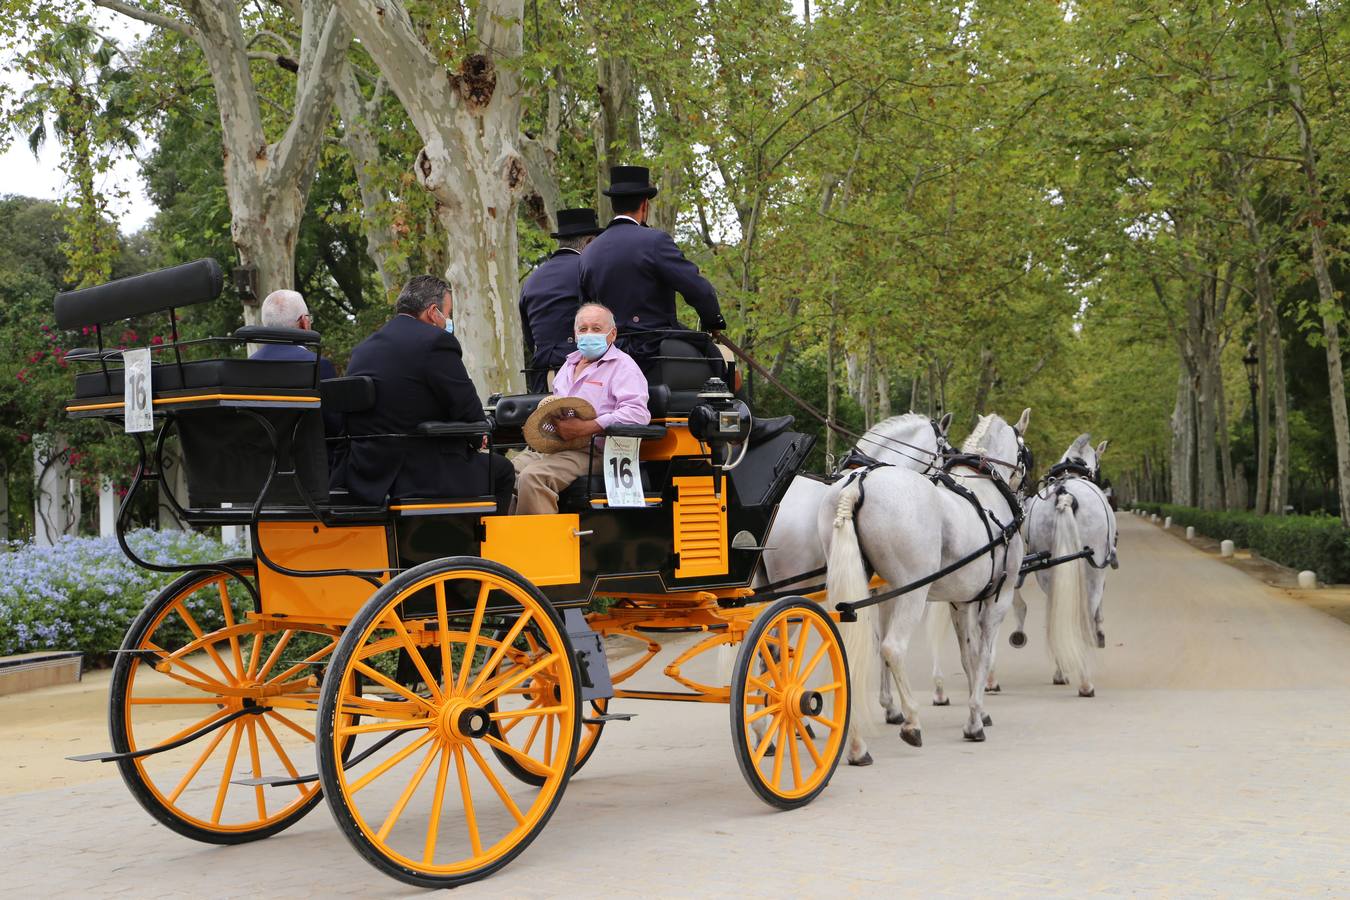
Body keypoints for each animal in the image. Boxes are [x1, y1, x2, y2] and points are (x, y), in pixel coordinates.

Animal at [815, 412, 1026, 766]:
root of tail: (858, 483)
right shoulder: (998, 598)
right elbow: (983, 655)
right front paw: (975, 718)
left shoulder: (960, 602)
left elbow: (968, 655)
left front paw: (978, 711)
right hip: (911, 593)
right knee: (892, 648)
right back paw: (911, 721)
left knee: (848, 654)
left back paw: (856, 744)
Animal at [1015, 434, 1117, 696]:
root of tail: (1065, 494)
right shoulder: (1099, 569)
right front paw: (1100, 634)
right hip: (1092, 570)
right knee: (1084, 612)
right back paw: (1085, 682)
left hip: (1048, 573)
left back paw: (1061, 672)